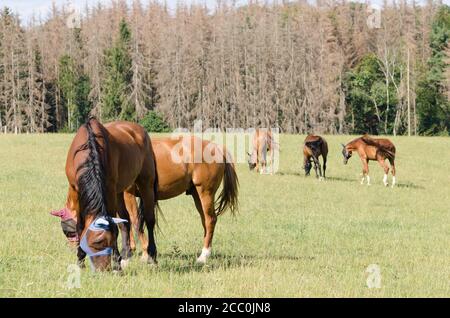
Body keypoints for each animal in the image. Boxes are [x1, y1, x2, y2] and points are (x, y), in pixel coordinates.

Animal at [62, 118, 158, 270]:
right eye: (93, 244)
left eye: (108, 242)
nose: (103, 269)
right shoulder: (76, 191)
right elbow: (80, 227)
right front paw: (80, 261)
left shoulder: (109, 190)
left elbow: (114, 226)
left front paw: (117, 263)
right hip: (119, 192)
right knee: (125, 221)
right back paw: (126, 254)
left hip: (145, 184)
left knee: (149, 220)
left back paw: (152, 256)